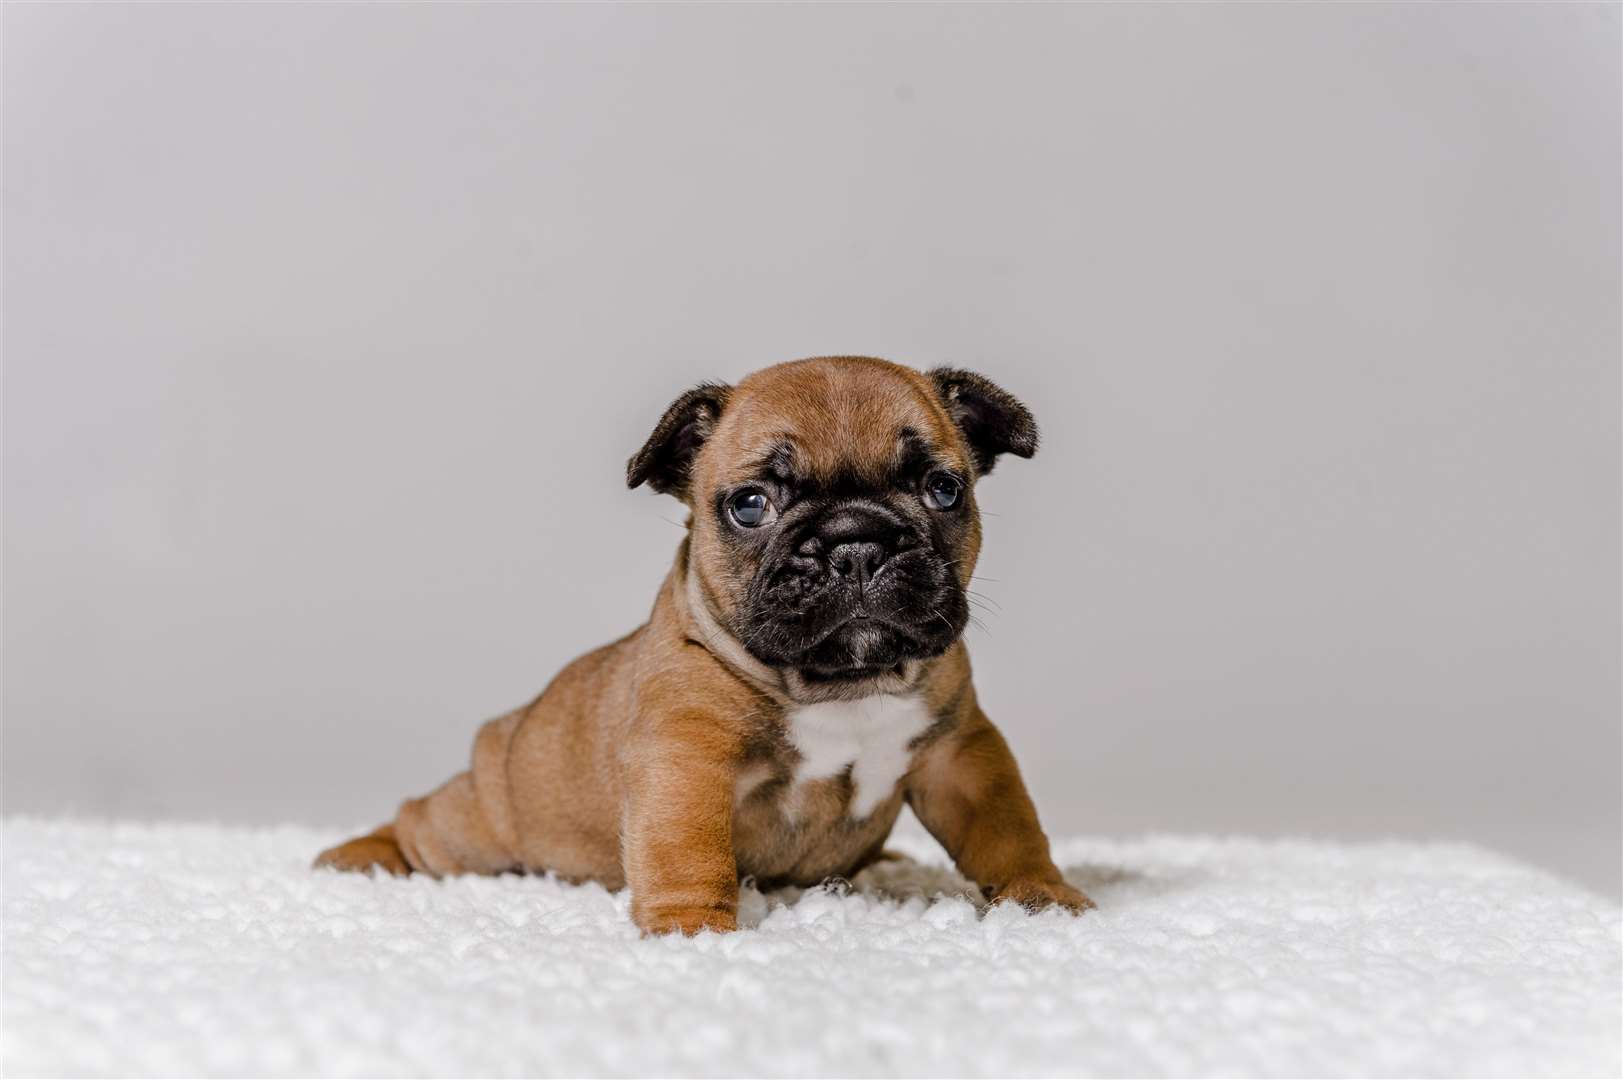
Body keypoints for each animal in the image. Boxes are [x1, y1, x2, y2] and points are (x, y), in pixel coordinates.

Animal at [314, 357, 1090, 928]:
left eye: (942, 489)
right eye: (750, 505)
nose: (856, 541)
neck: (841, 686)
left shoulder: (961, 753)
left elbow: (1007, 827)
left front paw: (1040, 897)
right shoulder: (684, 757)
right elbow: (687, 846)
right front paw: (692, 930)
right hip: (480, 821)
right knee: (422, 824)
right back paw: (359, 857)